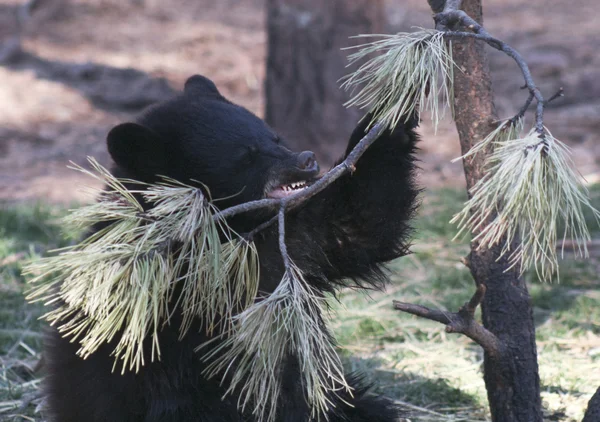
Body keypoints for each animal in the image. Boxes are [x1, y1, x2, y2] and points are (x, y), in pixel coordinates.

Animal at [42, 74, 420, 420]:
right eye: (246, 156)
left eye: (274, 137)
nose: (307, 159)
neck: (233, 233)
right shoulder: (161, 308)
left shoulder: (293, 243)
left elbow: (356, 223)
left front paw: (394, 113)